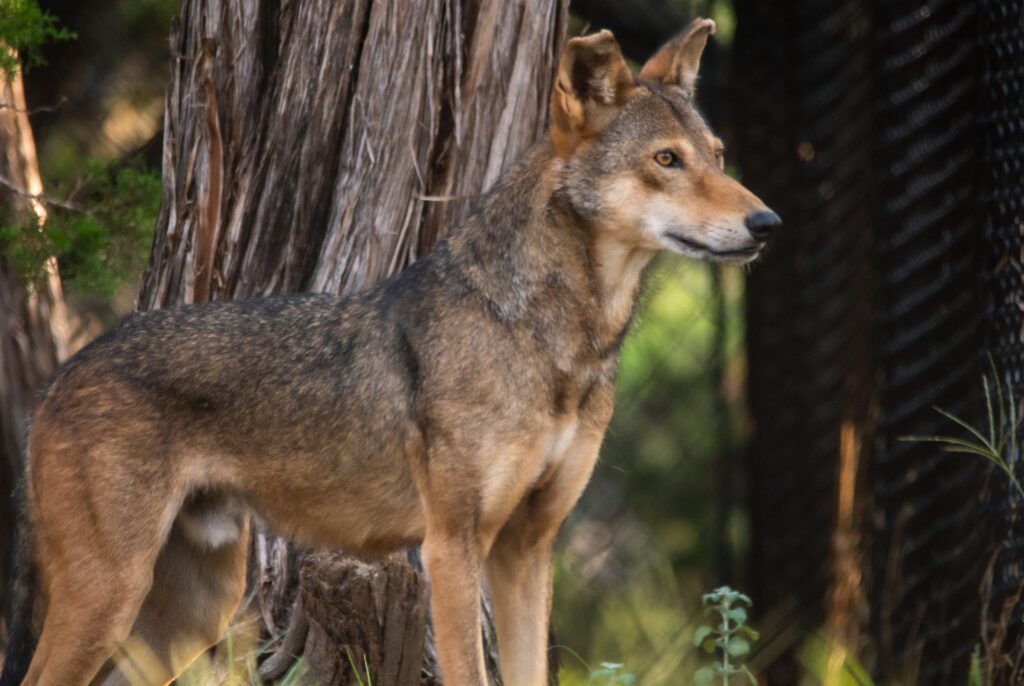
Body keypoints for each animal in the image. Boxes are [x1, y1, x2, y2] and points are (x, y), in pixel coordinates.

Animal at [0, 18, 779, 686]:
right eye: (666, 161)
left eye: (717, 159)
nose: (767, 222)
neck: (554, 339)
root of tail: (59, 376)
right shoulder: (453, 549)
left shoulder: (525, 550)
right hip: (113, 600)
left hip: (182, 619)